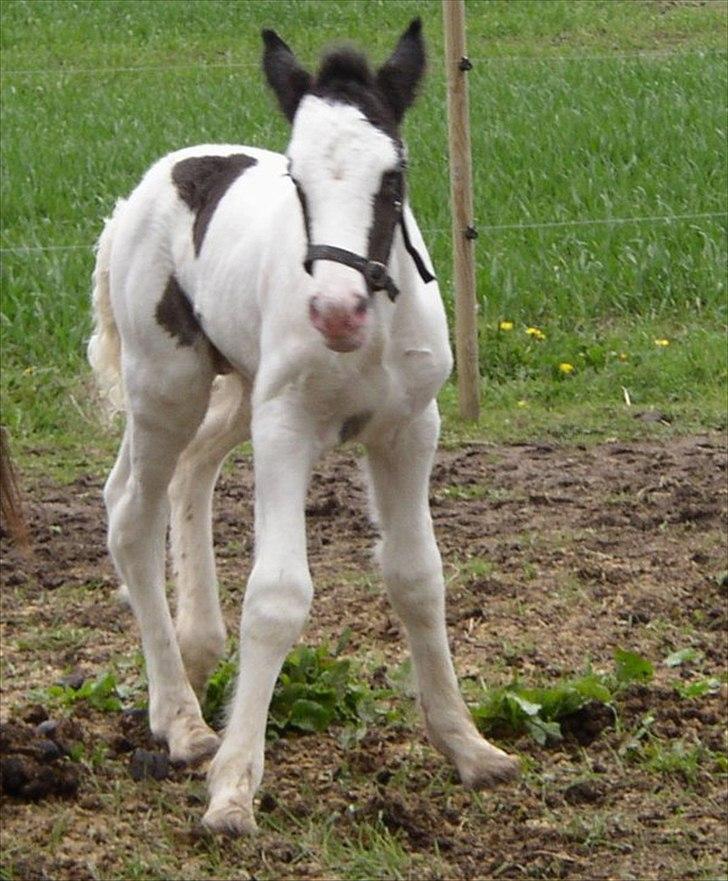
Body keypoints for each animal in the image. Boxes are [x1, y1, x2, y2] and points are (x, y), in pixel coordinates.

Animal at [88, 18, 516, 832]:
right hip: (168, 387)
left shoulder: (410, 430)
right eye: (296, 180)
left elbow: (418, 577)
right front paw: (232, 788)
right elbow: (279, 595)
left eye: (394, 176)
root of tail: (144, 190)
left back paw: (198, 649)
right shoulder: (284, 428)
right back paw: (182, 720)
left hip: (235, 391)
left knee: (190, 472)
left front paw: (467, 745)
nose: (335, 312)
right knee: (130, 512)